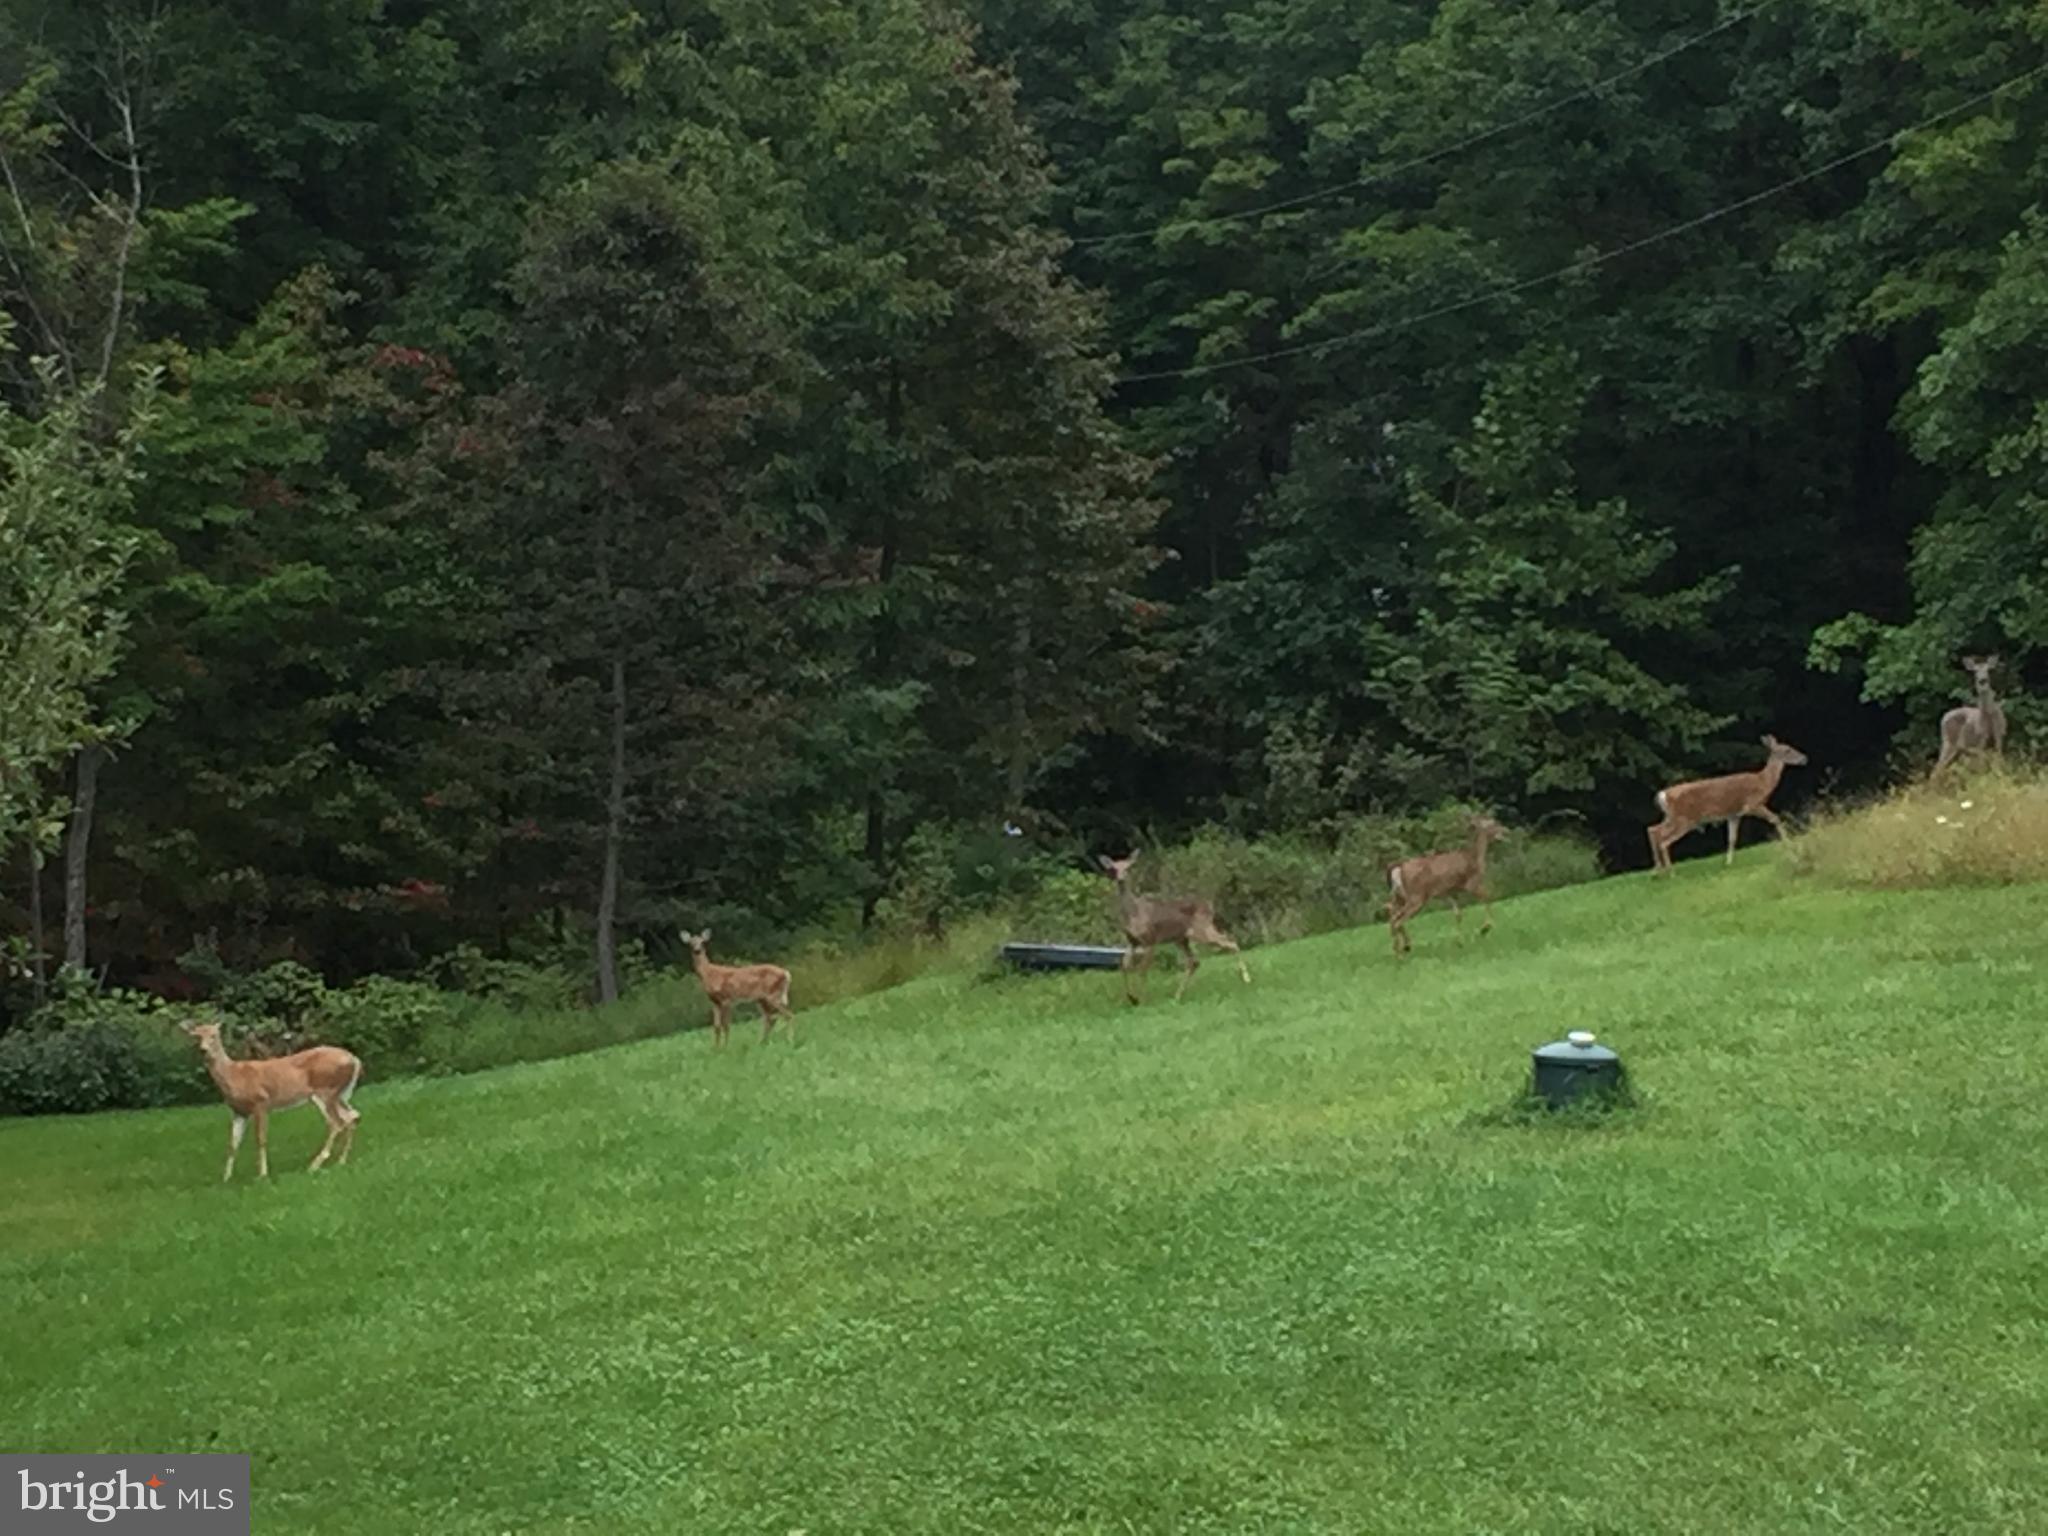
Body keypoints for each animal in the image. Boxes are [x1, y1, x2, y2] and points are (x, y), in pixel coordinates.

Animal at [179, 1019, 362, 1182]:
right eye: (196, 1036)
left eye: (214, 1035)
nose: (203, 1050)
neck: (234, 1075)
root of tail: (354, 1059)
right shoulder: (239, 1111)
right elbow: (232, 1144)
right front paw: (226, 1178)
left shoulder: (260, 1102)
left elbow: (261, 1139)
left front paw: (263, 1174)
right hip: (340, 1094)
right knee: (353, 1116)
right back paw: (341, 1161)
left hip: (324, 1090)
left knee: (337, 1122)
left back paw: (314, 1165)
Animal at [1096, 851, 1250, 1005]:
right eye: (1113, 869)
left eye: (1128, 868)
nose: (1121, 879)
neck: (1134, 914)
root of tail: (1210, 905)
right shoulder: (1132, 941)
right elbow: (1124, 965)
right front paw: (1131, 997)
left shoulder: (1151, 939)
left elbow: (1142, 969)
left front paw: (1141, 999)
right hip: (1182, 938)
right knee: (1194, 961)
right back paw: (1177, 996)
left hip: (1201, 930)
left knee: (1230, 942)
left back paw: (1246, 978)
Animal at [1386, 814, 1508, 957]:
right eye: (1492, 823)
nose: (1505, 830)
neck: (1475, 857)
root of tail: (1398, 869)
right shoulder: (1471, 883)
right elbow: (1487, 897)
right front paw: (1485, 928)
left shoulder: (1450, 892)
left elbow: (1458, 915)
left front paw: (1460, 942)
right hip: (1416, 897)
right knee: (1397, 920)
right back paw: (1401, 953)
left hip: (1400, 896)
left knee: (1392, 915)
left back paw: (1403, 948)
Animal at [1647, 734, 1808, 875]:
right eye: (1787, 750)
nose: (1804, 758)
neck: (1763, 782)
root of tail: (1664, 794)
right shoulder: (1752, 805)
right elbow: (1776, 818)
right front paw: (1789, 843)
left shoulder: (1734, 814)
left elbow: (1732, 838)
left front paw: (1728, 862)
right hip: (1685, 819)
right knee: (1663, 840)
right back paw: (1670, 872)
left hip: (1672, 817)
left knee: (1653, 830)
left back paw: (1657, 871)